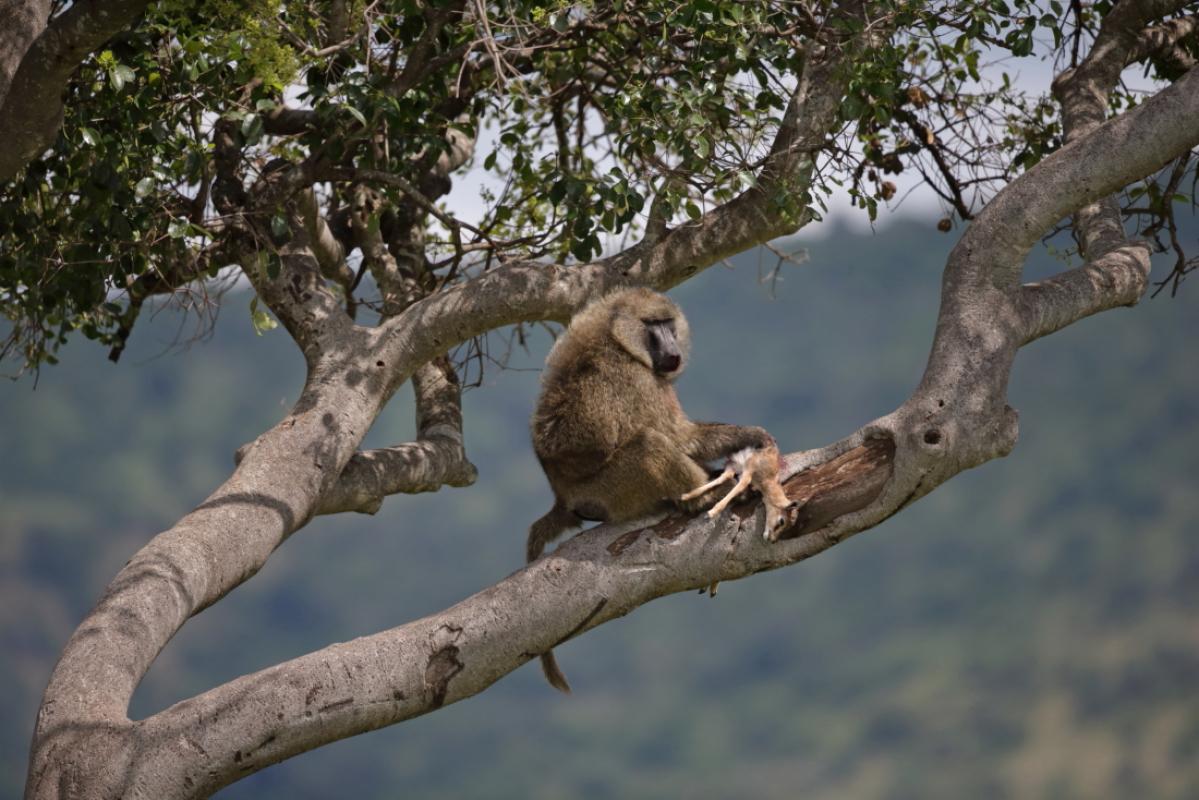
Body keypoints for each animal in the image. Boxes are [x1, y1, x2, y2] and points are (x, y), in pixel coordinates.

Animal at [527, 287, 796, 692]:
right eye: (653, 325)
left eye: (668, 323)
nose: (672, 349)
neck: (615, 338)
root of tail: (563, 498)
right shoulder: (636, 379)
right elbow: (678, 436)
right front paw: (750, 436)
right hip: (613, 491)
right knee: (650, 443)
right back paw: (704, 498)